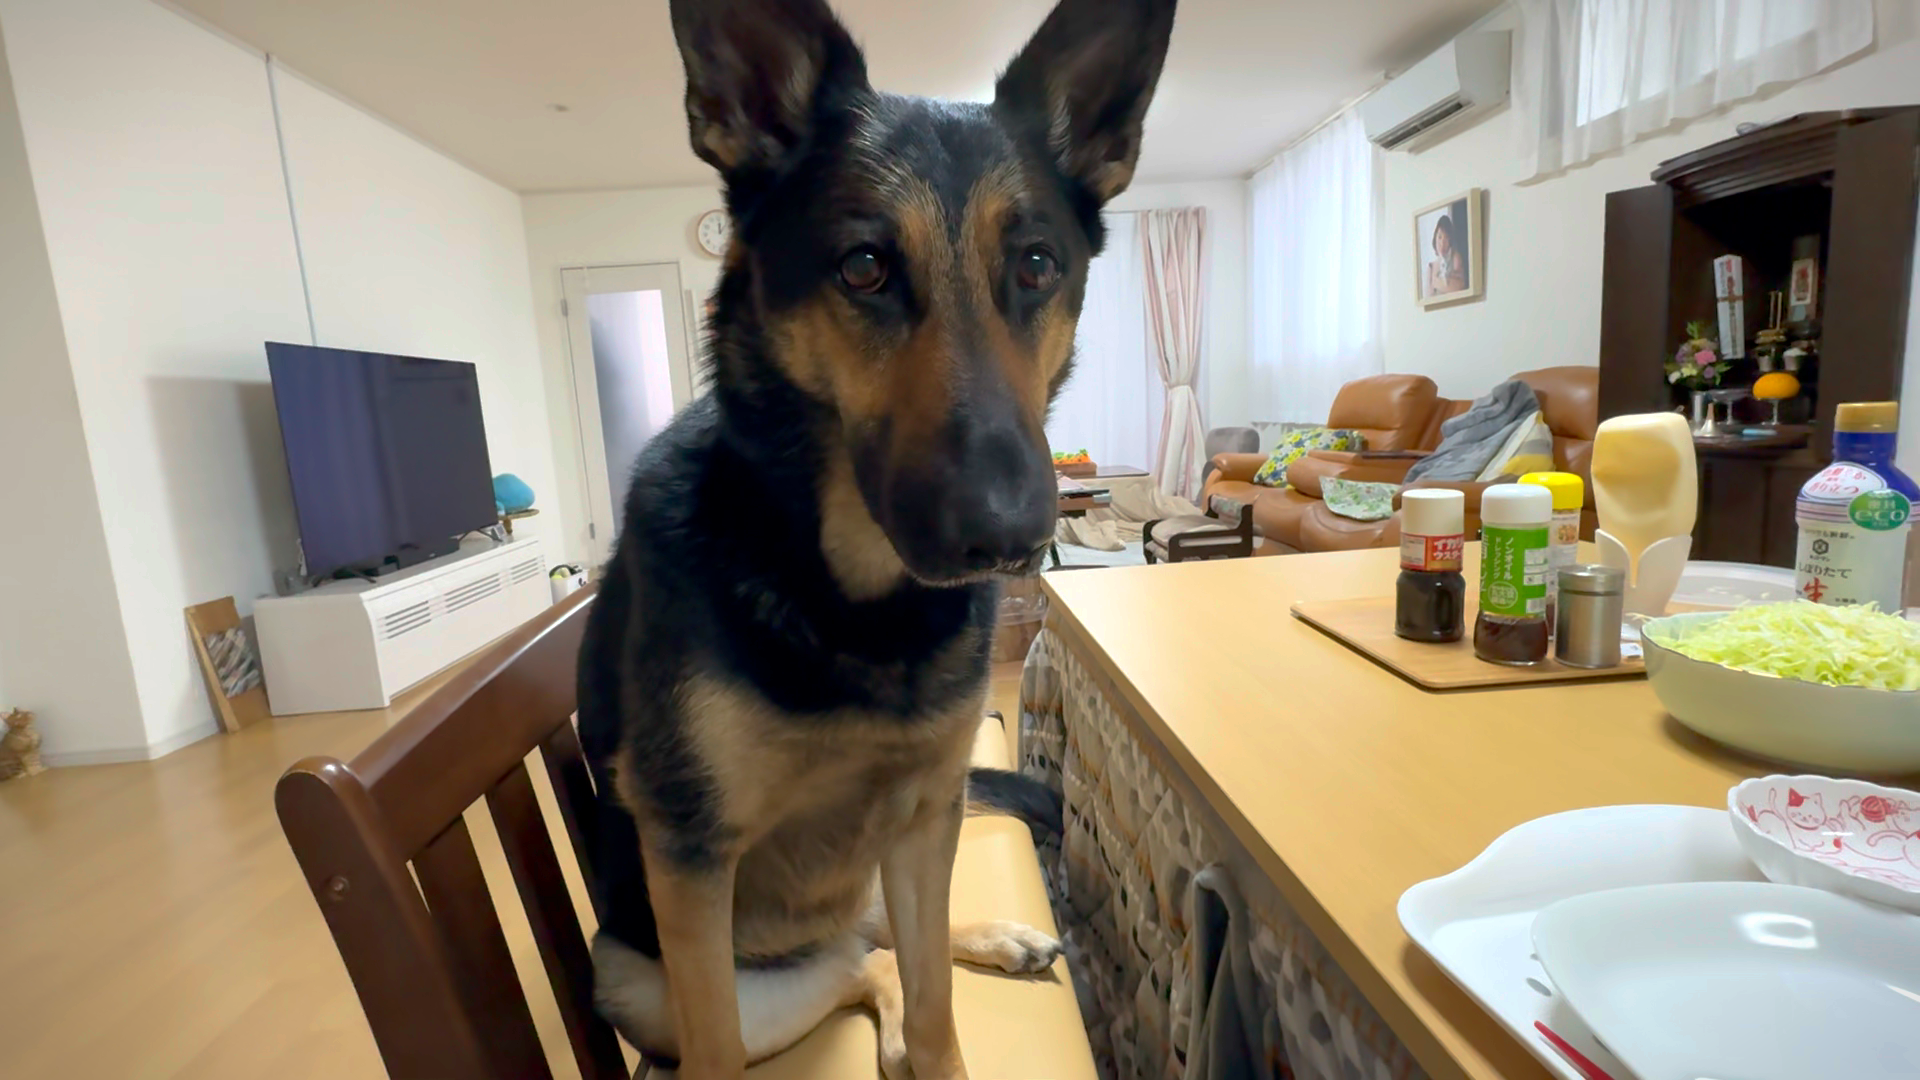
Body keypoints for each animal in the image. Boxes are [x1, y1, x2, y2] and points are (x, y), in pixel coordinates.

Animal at [576, 0, 1176, 1076]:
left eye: (1036, 265)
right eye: (864, 268)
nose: (1008, 534)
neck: (846, 593)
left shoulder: (924, 816)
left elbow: (937, 1005)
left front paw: (941, 1038)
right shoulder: (691, 866)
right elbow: (740, 1037)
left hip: (885, 870)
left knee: (884, 952)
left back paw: (996, 942)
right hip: (657, 986)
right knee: (857, 967)